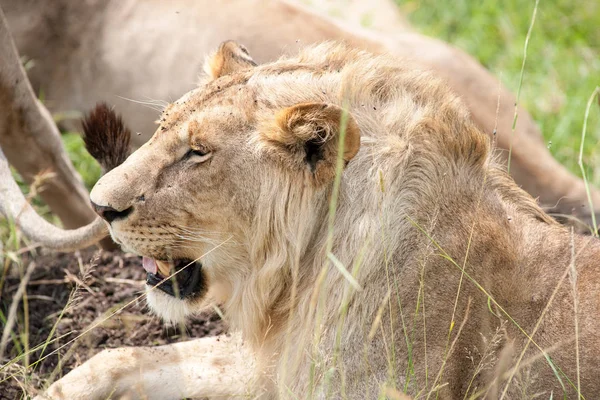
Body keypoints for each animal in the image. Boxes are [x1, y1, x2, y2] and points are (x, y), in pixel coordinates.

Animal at [36, 41, 600, 400]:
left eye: (198, 153)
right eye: (159, 128)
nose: (100, 207)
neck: (299, 277)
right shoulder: (277, 363)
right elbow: (124, 357)